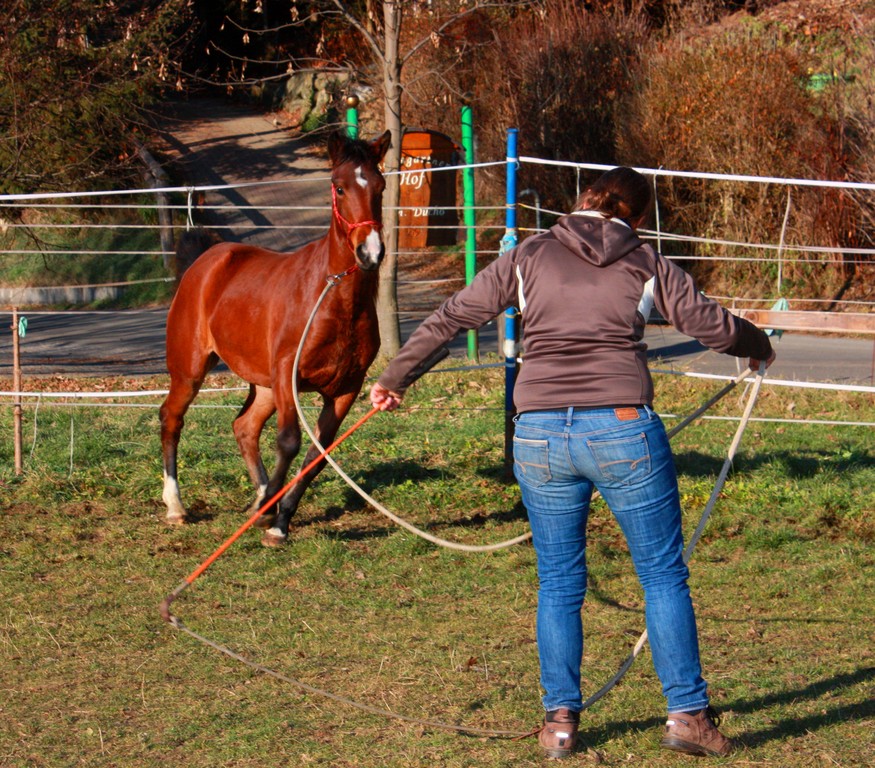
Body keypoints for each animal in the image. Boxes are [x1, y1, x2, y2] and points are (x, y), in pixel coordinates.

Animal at [159, 130, 392, 544]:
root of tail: (205, 262)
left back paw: (260, 497)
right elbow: (289, 441)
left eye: (380, 186)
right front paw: (270, 515)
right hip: (189, 370)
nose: (370, 252)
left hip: (263, 384)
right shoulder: (288, 375)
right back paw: (176, 507)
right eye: (339, 187)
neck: (331, 298)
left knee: (244, 427)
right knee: (171, 419)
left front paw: (278, 522)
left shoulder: (345, 389)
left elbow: (316, 457)